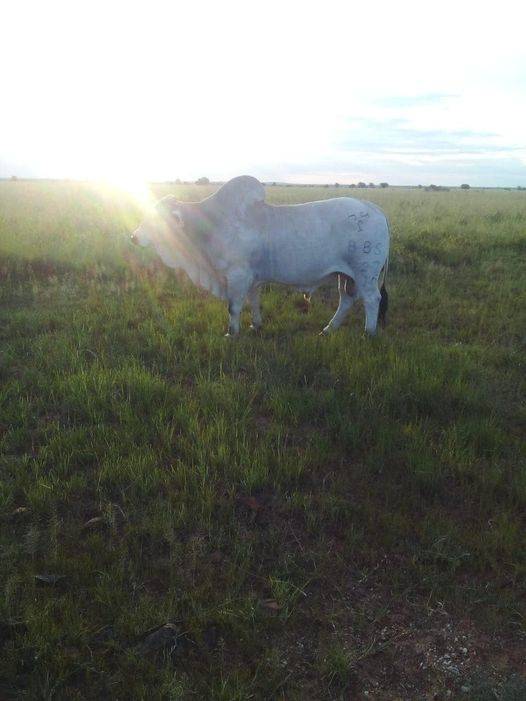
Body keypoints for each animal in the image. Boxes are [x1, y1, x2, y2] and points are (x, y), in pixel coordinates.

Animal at [131, 176, 390, 336]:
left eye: (157, 218)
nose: (133, 237)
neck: (212, 224)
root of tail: (374, 209)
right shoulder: (253, 278)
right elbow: (253, 301)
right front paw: (255, 325)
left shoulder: (237, 276)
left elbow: (233, 307)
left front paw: (231, 333)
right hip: (346, 276)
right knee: (346, 300)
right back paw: (328, 329)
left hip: (365, 273)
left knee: (371, 299)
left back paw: (368, 332)